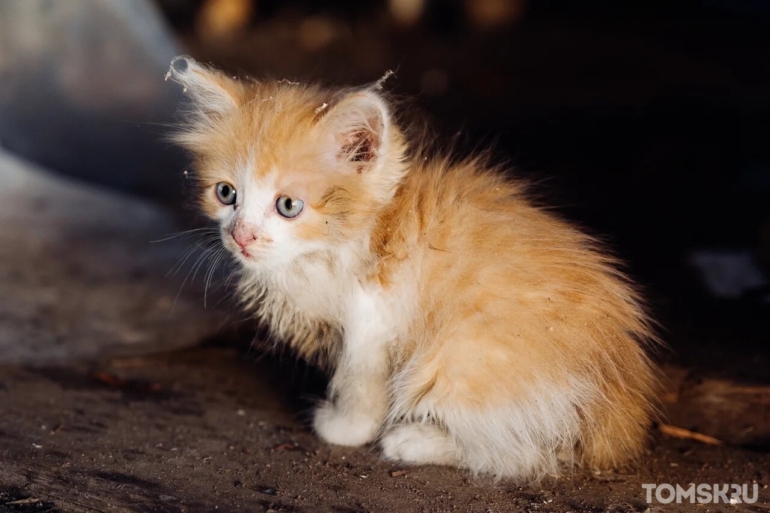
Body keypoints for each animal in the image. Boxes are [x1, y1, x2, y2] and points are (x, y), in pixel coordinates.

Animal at [168, 56, 660, 480]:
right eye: (226, 193)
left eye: (288, 205)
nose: (242, 236)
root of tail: (620, 416)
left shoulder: (373, 319)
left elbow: (362, 386)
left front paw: (345, 429)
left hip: (458, 361)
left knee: (524, 455)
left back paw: (414, 440)